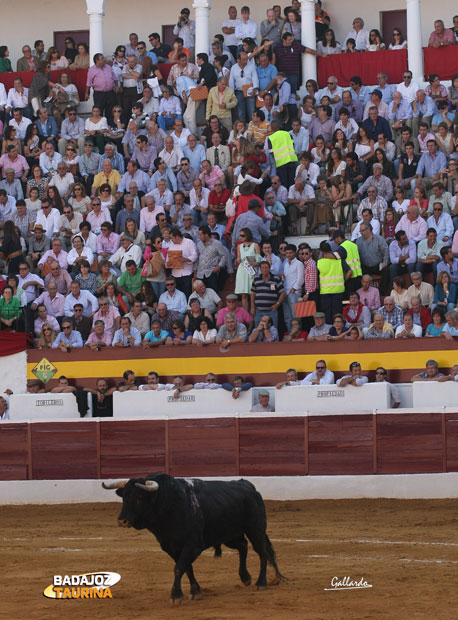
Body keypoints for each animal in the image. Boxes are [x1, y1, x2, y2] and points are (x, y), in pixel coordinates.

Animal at [102, 474, 284, 600]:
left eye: (139, 498)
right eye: (124, 497)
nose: (122, 520)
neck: (168, 505)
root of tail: (248, 485)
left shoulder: (193, 544)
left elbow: (179, 567)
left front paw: (176, 595)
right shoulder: (170, 546)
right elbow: (186, 567)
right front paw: (195, 591)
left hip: (255, 530)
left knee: (262, 553)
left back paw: (261, 583)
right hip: (229, 535)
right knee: (243, 546)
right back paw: (245, 577)